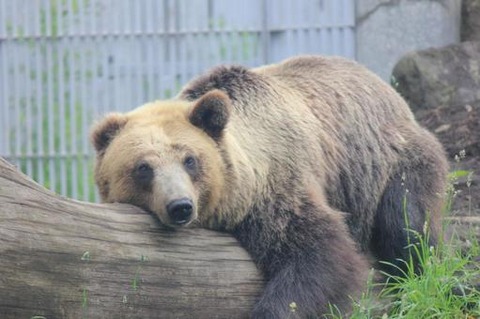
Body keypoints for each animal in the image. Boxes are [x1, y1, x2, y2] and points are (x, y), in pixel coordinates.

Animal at [91, 56, 450, 318]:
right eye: (143, 167)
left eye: (190, 160)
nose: (180, 206)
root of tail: (387, 88)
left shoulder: (275, 191)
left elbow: (320, 254)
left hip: (389, 161)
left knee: (406, 224)